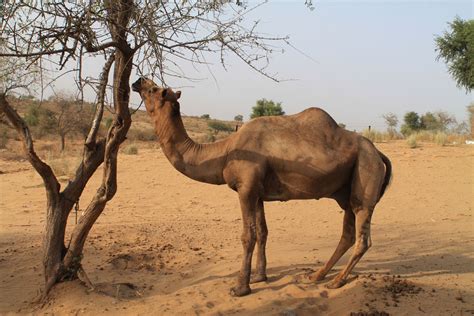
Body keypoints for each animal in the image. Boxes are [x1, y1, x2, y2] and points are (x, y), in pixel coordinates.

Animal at [131, 78, 390, 296]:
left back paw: (337, 282)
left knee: (362, 236)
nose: (137, 81)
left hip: (365, 174)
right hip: (346, 190)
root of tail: (378, 153)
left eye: (154, 89)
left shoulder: (246, 188)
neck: (225, 151)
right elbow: (263, 232)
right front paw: (259, 277)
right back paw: (318, 275)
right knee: (347, 233)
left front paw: (240, 288)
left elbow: (248, 235)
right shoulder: (257, 192)